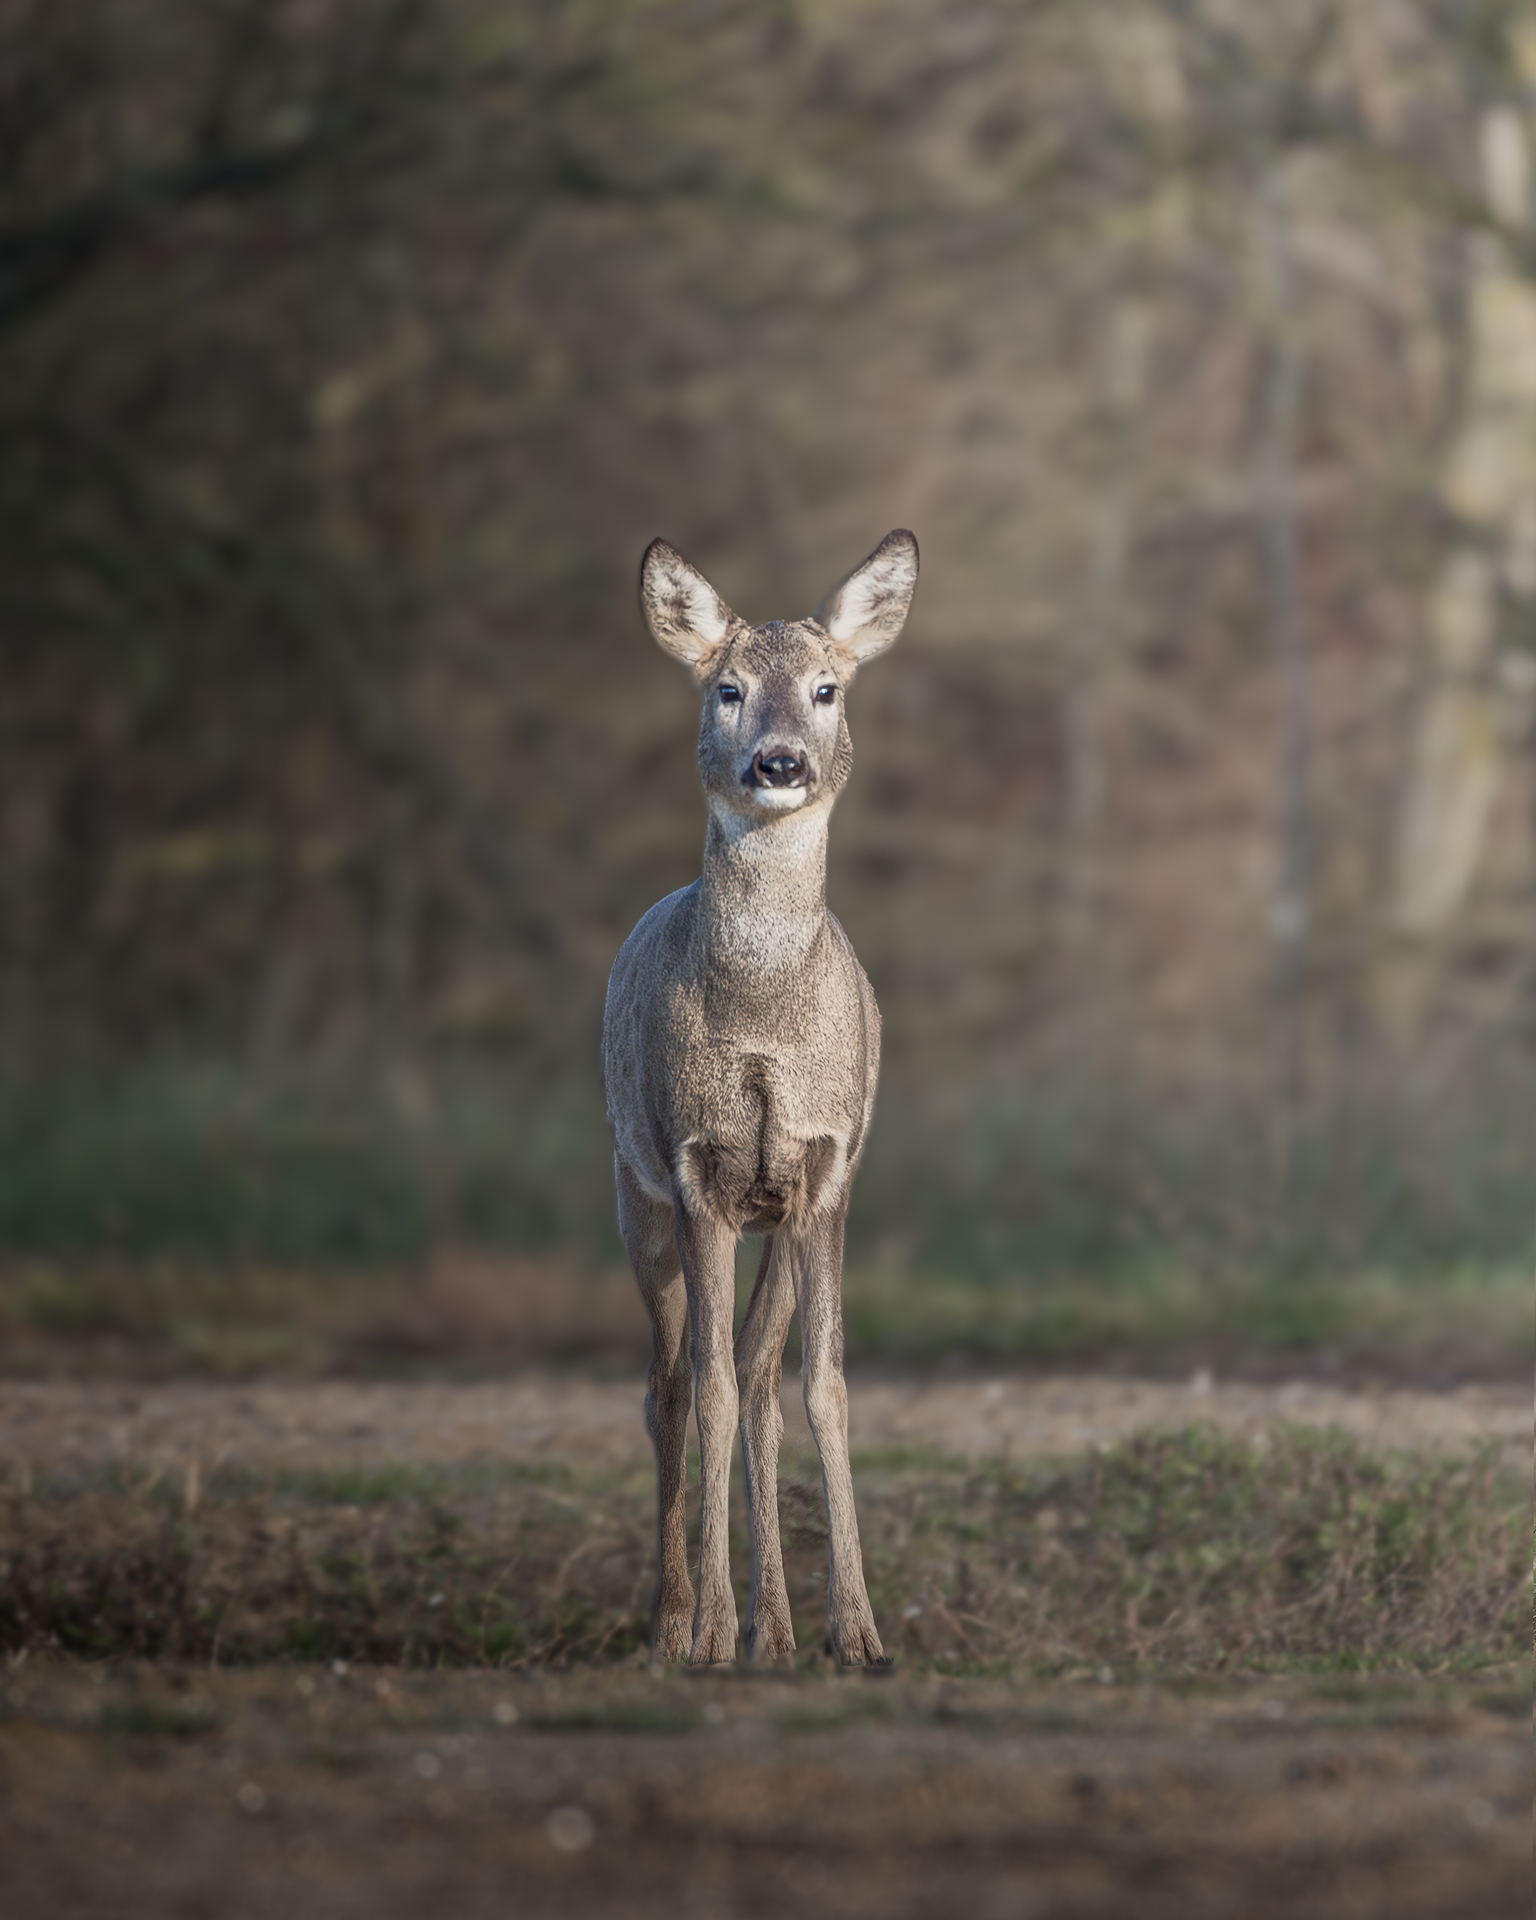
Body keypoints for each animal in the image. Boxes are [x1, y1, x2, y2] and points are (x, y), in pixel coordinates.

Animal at [602, 528, 919, 1668]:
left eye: (828, 688)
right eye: (728, 689)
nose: (777, 762)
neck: (766, 1027)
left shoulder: (824, 1172)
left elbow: (822, 1384)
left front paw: (859, 1631)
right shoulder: (695, 1168)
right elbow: (710, 1389)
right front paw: (709, 1630)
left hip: (773, 1218)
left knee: (759, 1372)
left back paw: (778, 1632)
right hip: (633, 1192)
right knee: (673, 1384)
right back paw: (675, 1620)